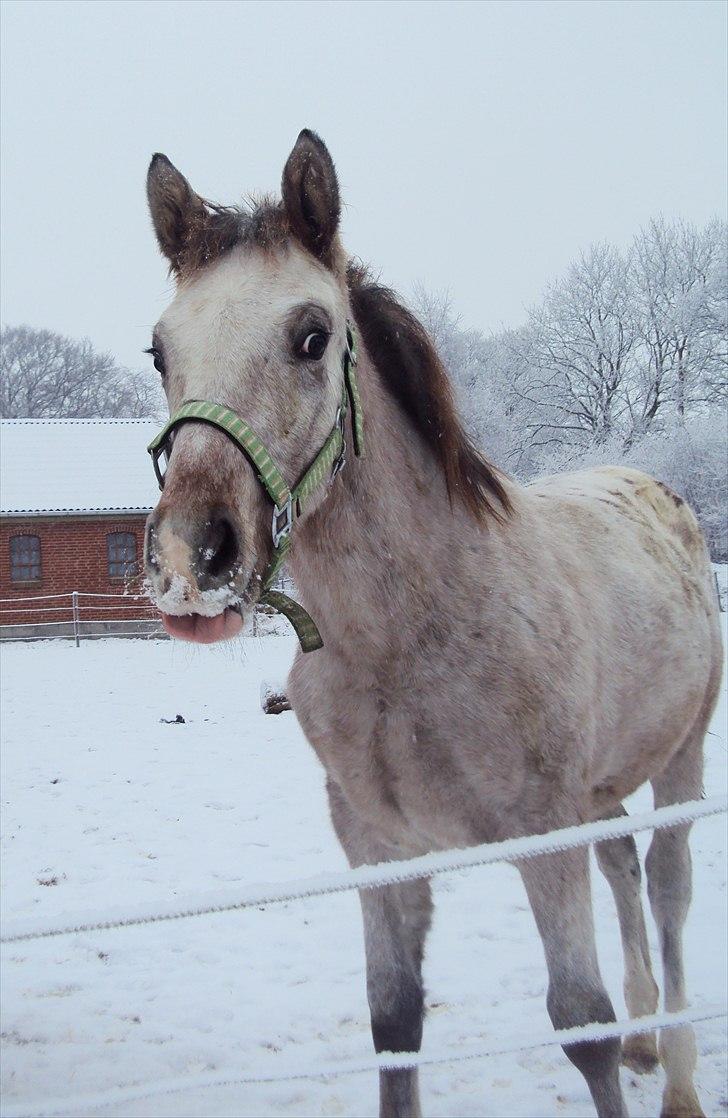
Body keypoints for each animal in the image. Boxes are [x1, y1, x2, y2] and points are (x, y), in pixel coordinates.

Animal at [142, 130, 724, 1118]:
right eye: (158, 353)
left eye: (312, 336)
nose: (193, 563)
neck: (412, 639)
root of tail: (658, 492)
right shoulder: (380, 851)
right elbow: (395, 1021)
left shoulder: (545, 839)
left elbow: (583, 1025)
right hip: (603, 789)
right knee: (625, 869)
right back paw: (653, 1042)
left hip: (681, 762)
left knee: (670, 891)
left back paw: (677, 1077)